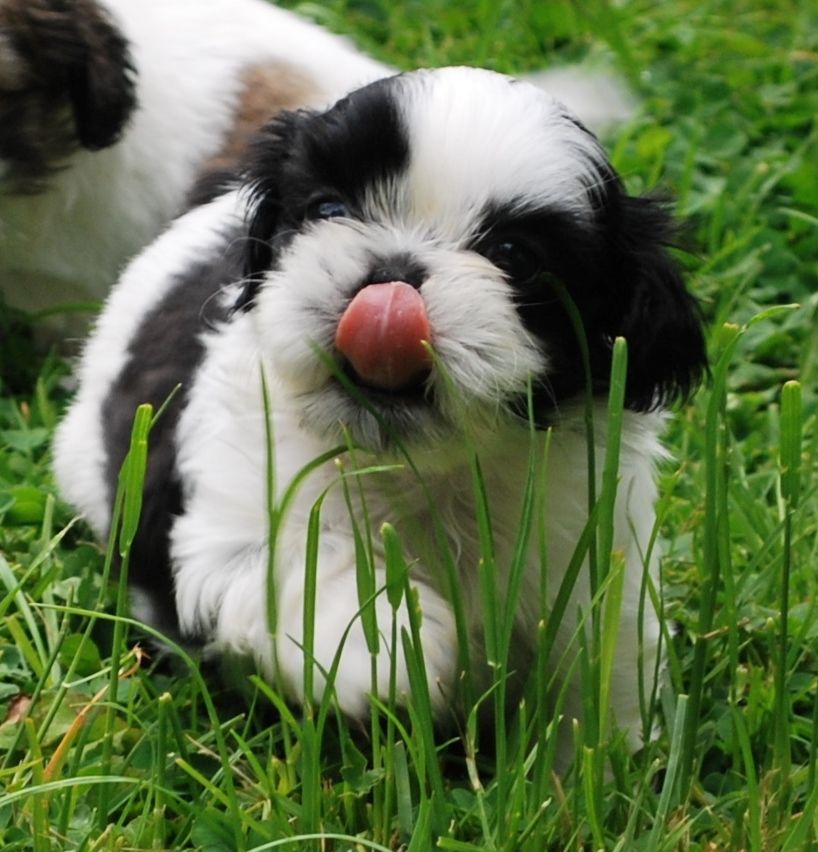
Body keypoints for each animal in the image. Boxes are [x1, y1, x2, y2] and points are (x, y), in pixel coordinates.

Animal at [54, 65, 704, 760]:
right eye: (328, 211)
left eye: (515, 257)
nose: (393, 273)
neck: (423, 468)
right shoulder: (236, 507)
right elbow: (297, 560)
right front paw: (389, 645)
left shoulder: (589, 538)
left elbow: (597, 653)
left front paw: (600, 765)